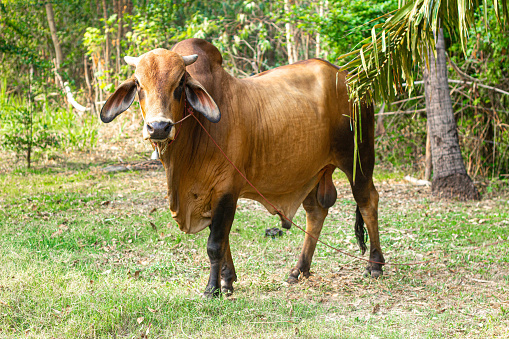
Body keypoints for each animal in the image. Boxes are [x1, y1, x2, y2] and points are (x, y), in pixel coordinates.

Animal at [101, 37, 382, 298]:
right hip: (313, 171)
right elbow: (223, 239)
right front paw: (227, 280)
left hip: (358, 158)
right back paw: (299, 270)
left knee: (368, 201)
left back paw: (375, 265)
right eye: (138, 84)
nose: (158, 127)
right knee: (316, 212)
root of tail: (348, 77)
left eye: (180, 83)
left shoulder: (226, 190)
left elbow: (215, 243)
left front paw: (212, 288)